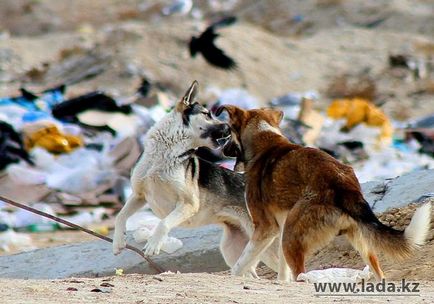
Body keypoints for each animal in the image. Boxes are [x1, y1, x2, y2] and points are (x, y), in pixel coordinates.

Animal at [112, 81, 278, 276]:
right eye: (207, 114)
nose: (229, 128)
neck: (165, 155)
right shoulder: (139, 195)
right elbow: (120, 216)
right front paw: (118, 242)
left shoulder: (188, 204)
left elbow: (163, 224)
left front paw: (153, 244)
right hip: (234, 249)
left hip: (265, 245)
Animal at [219, 105, 432, 282]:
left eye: (229, 132)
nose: (221, 148)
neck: (265, 139)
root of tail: (343, 183)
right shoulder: (278, 227)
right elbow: (281, 269)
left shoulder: (265, 228)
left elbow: (241, 263)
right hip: (359, 240)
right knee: (379, 272)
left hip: (291, 239)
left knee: (300, 274)